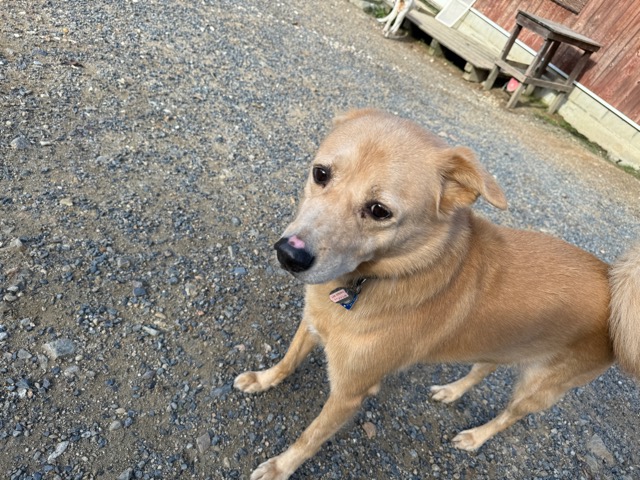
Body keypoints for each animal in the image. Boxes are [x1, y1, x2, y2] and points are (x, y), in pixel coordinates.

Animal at [234, 109, 640, 480]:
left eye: (379, 210)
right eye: (321, 174)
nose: (289, 255)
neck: (376, 278)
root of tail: (610, 278)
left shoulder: (351, 390)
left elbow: (310, 436)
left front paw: (280, 467)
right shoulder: (312, 324)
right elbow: (288, 360)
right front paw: (263, 379)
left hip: (539, 389)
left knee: (508, 415)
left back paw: (476, 437)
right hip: (505, 342)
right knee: (484, 366)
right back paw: (452, 391)